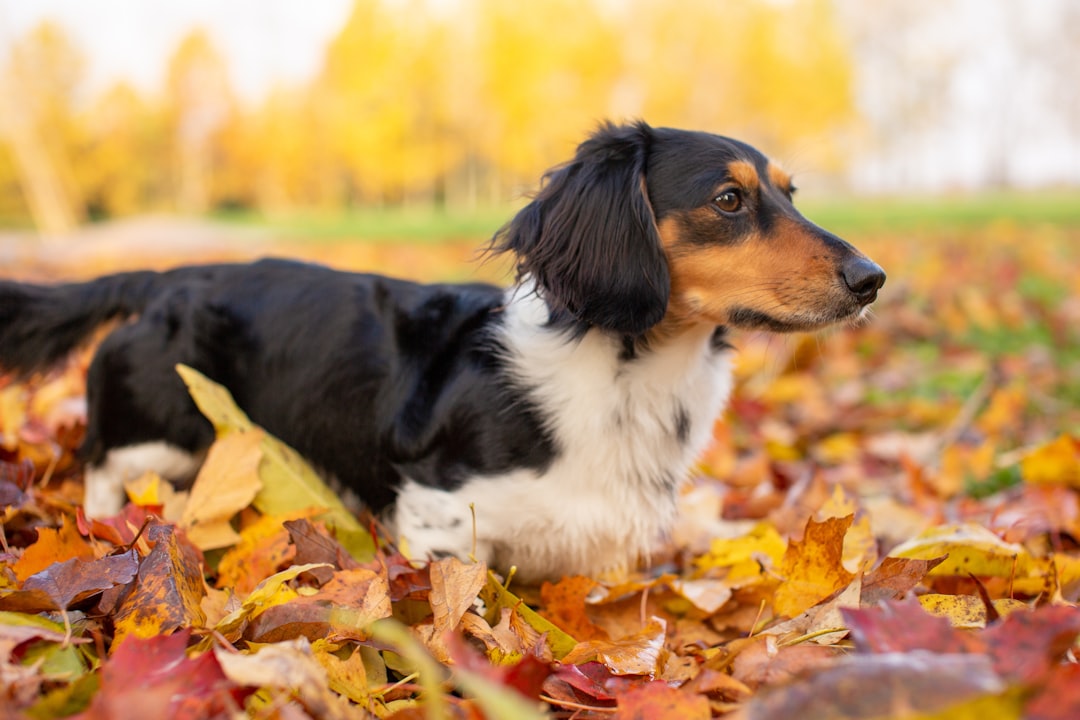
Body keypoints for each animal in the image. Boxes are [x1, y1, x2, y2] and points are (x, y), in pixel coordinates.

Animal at [0, 120, 881, 582]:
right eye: (728, 200)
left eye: (789, 195)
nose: (872, 279)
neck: (622, 376)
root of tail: (172, 274)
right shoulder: (439, 515)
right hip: (159, 434)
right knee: (103, 471)